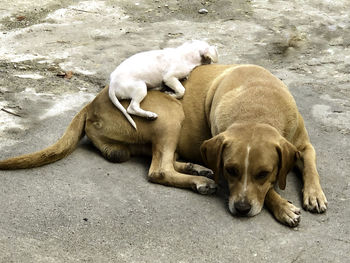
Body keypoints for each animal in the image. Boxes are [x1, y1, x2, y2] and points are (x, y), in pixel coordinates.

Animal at [0, 65, 328, 228]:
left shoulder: (303, 145)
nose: (242, 209)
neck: (257, 105)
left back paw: (196, 168)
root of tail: (94, 101)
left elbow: (310, 164)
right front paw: (283, 207)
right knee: (158, 170)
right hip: (170, 113)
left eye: (263, 172)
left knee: (164, 160)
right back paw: (198, 180)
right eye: (232, 170)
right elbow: (271, 191)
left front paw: (314, 194)